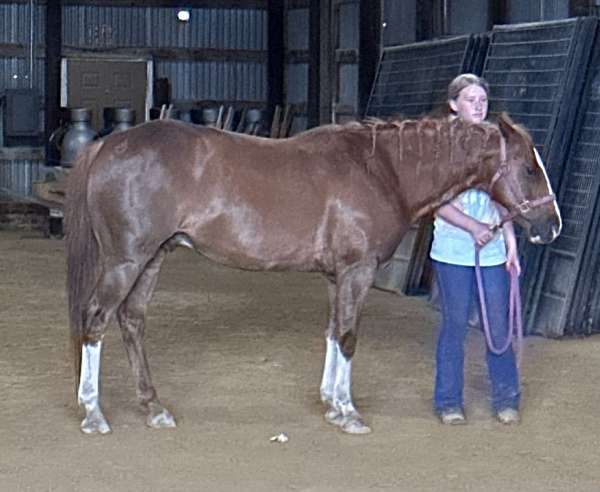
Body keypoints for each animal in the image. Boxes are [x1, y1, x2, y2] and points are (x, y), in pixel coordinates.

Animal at [67, 114, 564, 434]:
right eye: (528, 167)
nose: (552, 225)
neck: (382, 169)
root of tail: (107, 145)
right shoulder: (357, 271)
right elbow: (348, 337)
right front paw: (349, 413)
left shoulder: (336, 276)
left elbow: (332, 332)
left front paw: (330, 404)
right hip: (127, 260)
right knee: (95, 321)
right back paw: (94, 413)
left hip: (152, 258)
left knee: (132, 321)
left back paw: (153, 408)